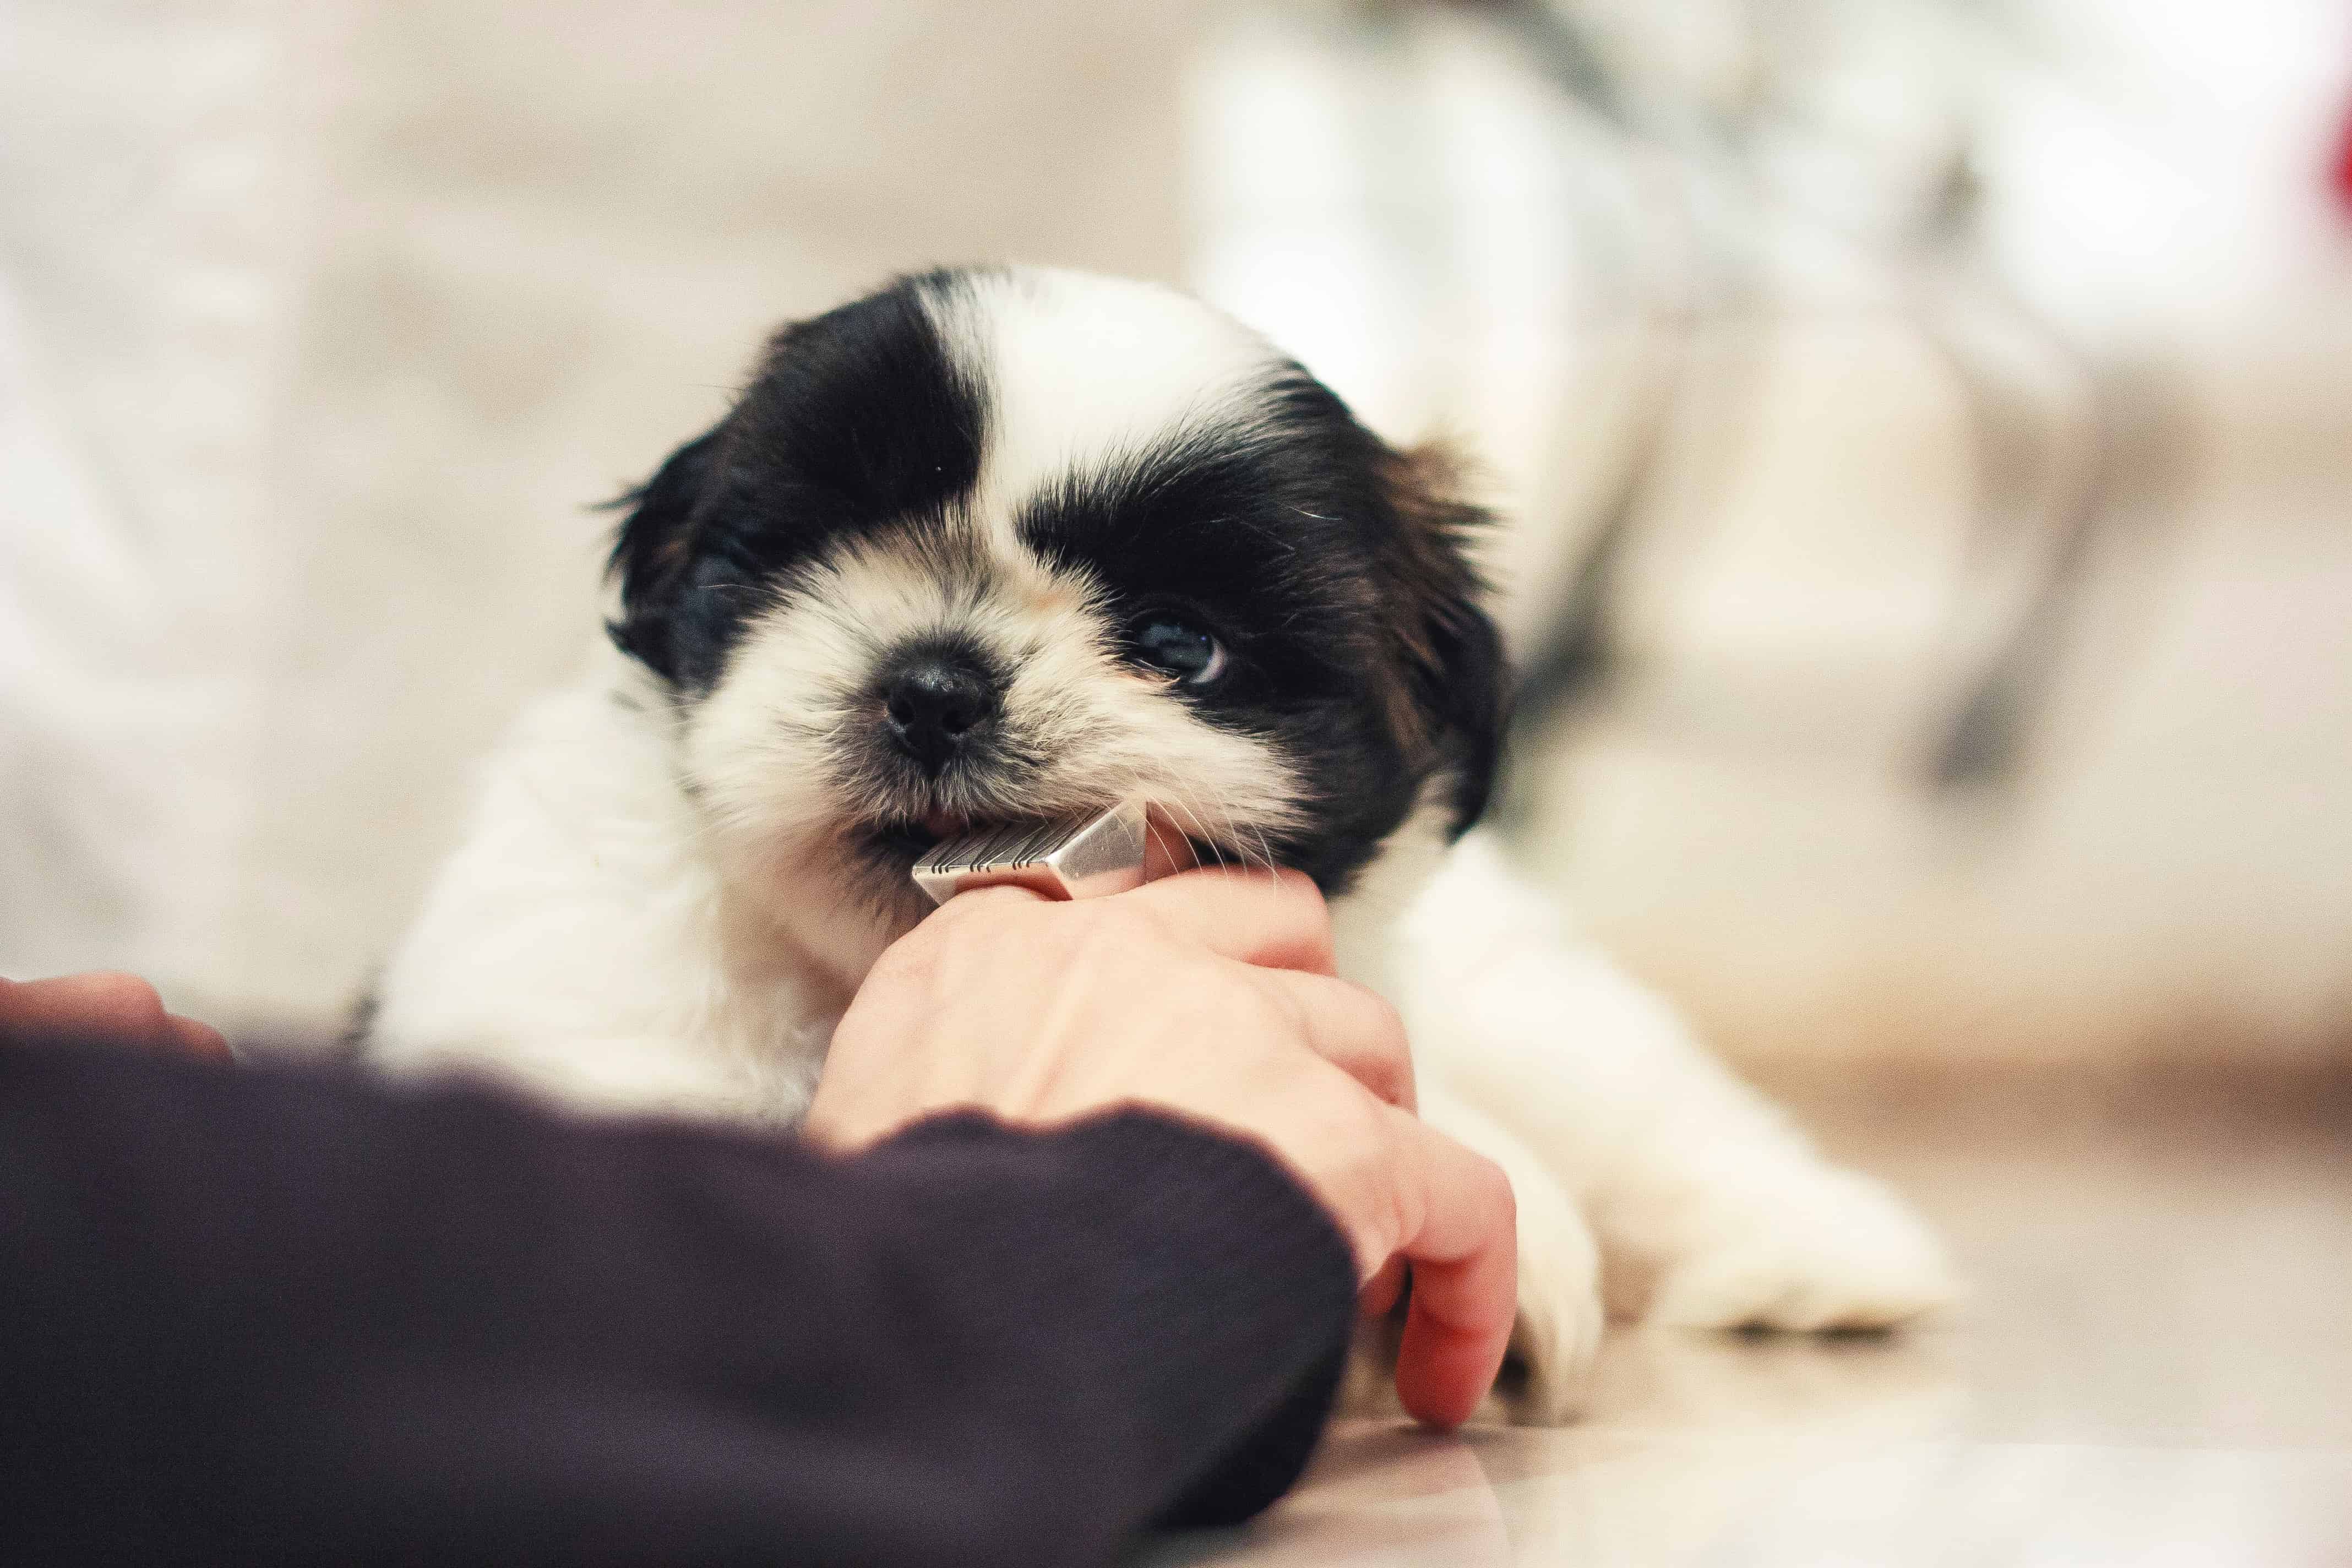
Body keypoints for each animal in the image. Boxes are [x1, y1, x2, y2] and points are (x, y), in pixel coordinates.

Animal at [367, 263, 1947, 1419]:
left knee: (1647, 1111)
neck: (851, 983)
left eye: (1182, 644)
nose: (934, 684)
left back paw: (1819, 1259)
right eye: (806, 557)